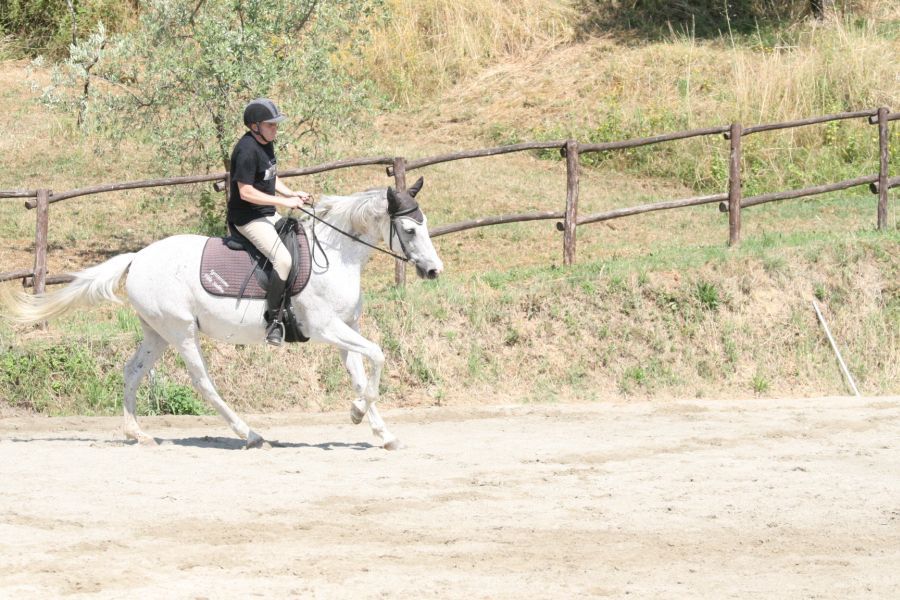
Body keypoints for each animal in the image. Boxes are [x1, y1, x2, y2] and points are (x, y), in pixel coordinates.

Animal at [1, 178, 442, 450]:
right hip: (181, 332)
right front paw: (357, 413)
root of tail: (138, 258)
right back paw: (249, 434)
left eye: (425, 225)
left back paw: (136, 434)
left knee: (132, 372)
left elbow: (361, 374)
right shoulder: (325, 328)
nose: (434, 271)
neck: (335, 256)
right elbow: (378, 356)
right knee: (203, 383)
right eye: (410, 230)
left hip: (156, 333)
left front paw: (380, 430)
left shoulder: (346, 328)